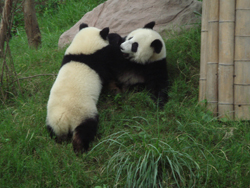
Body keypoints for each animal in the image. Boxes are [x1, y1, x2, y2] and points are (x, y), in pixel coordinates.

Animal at [46, 23, 121, 153]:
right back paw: (81, 148)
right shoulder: (100, 60)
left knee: (53, 133)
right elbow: (109, 69)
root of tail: (63, 121)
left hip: (51, 120)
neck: (82, 52)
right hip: (83, 113)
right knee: (85, 129)